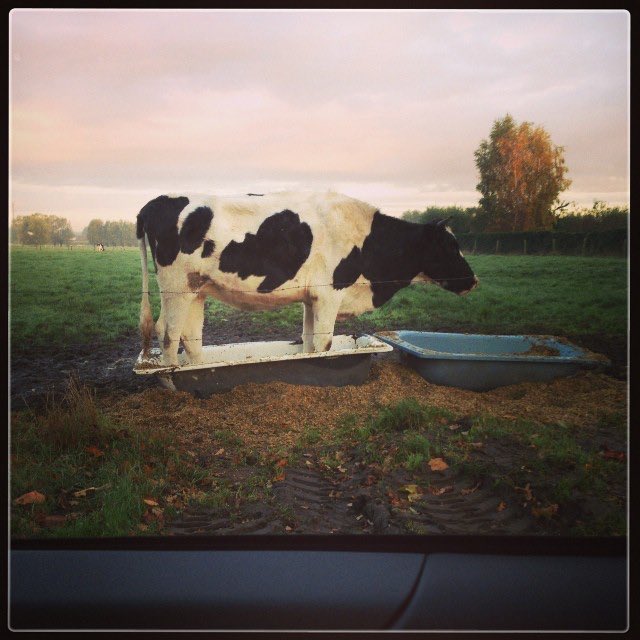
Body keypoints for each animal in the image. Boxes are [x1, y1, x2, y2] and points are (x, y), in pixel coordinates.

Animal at [136, 191, 478, 366]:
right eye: (451, 246)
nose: (474, 280)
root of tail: (160, 200)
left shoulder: (312, 298)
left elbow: (308, 342)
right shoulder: (330, 294)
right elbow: (324, 343)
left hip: (196, 289)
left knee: (191, 338)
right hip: (175, 288)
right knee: (167, 334)